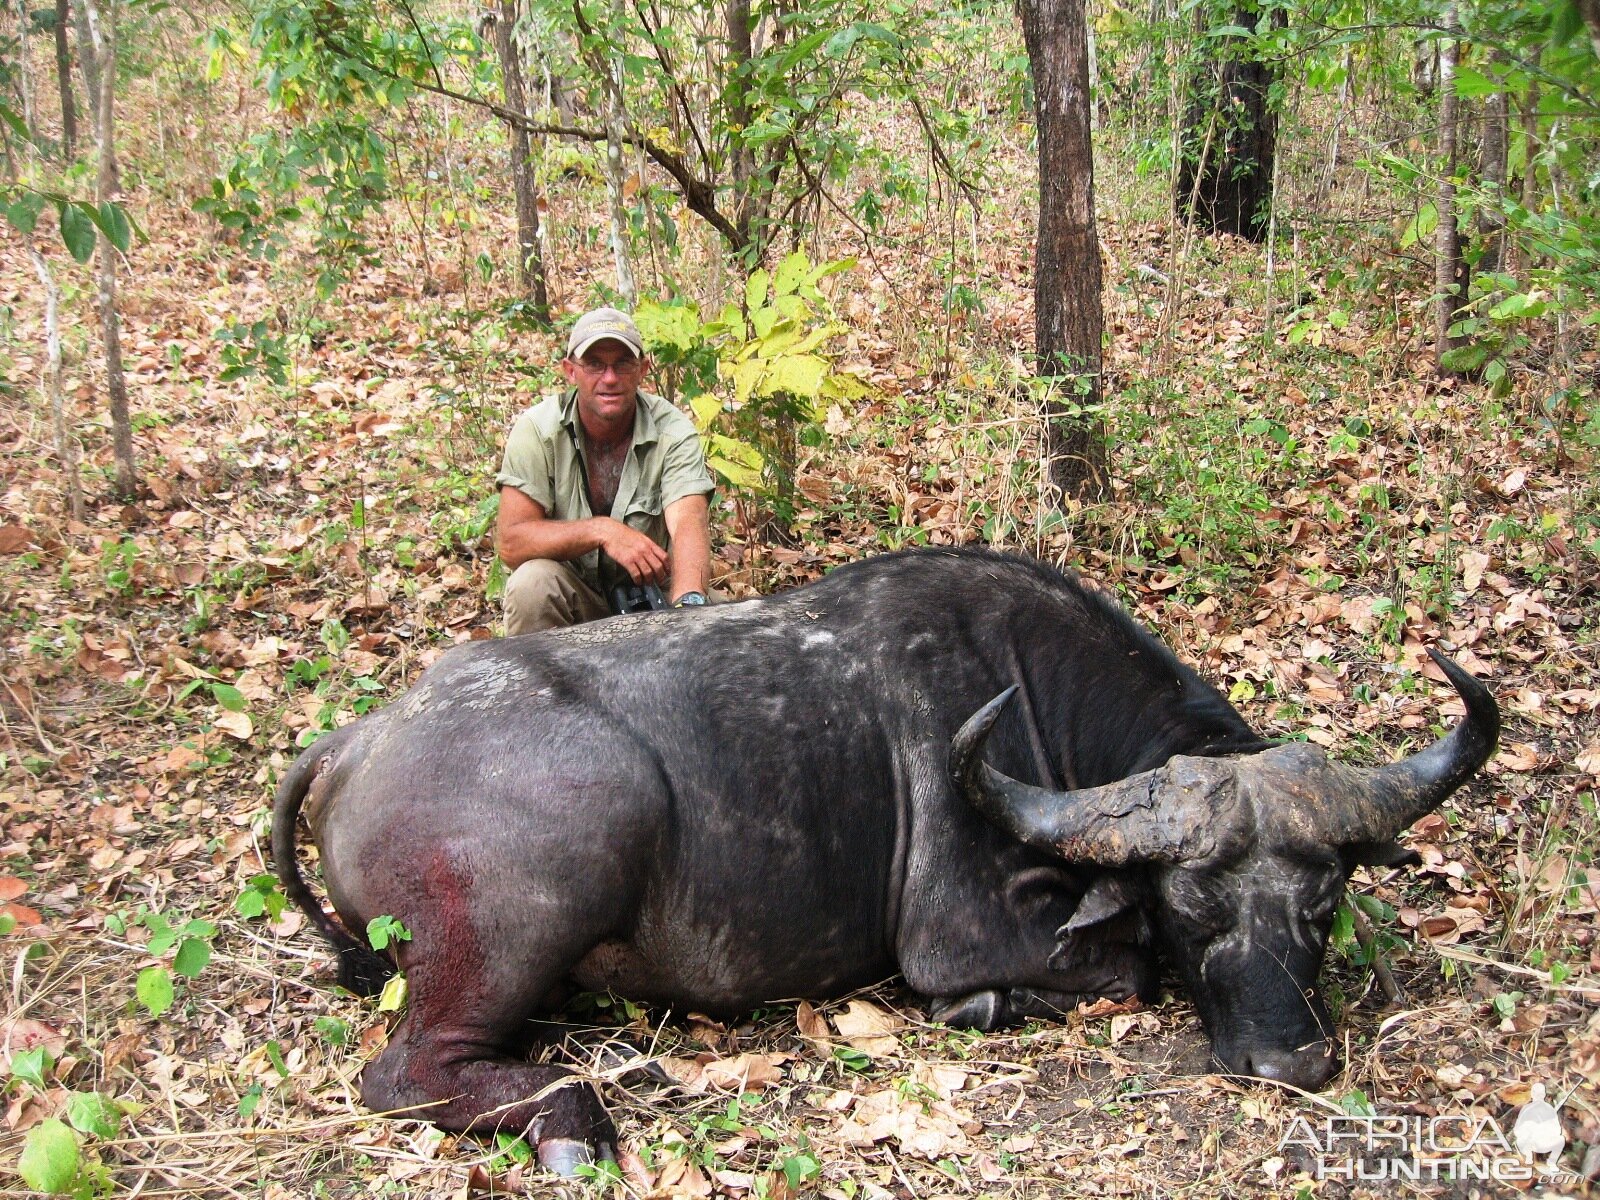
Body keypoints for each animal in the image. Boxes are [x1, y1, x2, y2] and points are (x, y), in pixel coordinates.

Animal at [275, 550, 1497, 1177]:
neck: (1029, 709)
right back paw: (574, 1116)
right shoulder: (960, 940)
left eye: (1324, 901)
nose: (1292, 1060)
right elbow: (1110, 968)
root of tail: (361, 739)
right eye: (1193, 906)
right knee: (405, 1072)